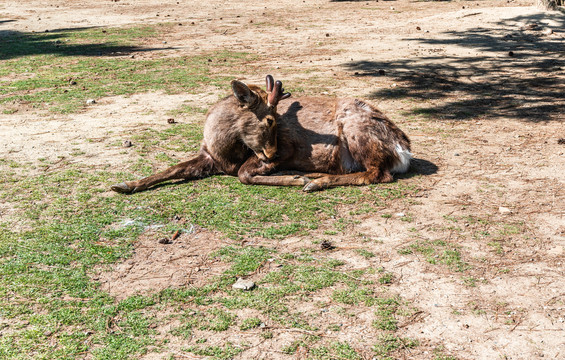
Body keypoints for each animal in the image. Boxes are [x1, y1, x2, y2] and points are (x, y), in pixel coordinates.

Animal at [111, 74, 410, 194]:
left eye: (278, 121)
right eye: (269, 119)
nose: (272, 152)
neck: (224, 152)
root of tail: (403, 150)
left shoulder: (286, 149)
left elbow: (244, 174)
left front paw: (293, 179)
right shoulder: (208, 158)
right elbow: (172, 168)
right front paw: (125, 185)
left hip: (356, 132)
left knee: (377, 174)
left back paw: (314, 182)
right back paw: (313, 176)